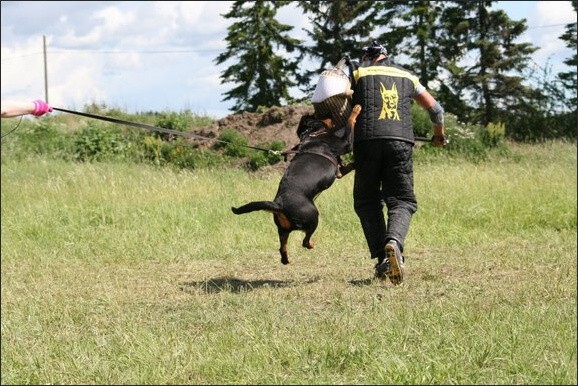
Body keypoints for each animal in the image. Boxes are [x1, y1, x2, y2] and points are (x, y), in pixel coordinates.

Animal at [231, 104, 358, 264]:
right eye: (318, 115)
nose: (329, 113)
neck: (312, 134)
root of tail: (279, 204)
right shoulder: (345, 144)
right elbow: (350, 122)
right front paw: (356, 109)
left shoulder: (340, 172)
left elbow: (351, 165)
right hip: (313, 216)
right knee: (305, 241)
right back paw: (311, 244)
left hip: (283, 229)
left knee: (282, 248)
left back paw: (286, 259)